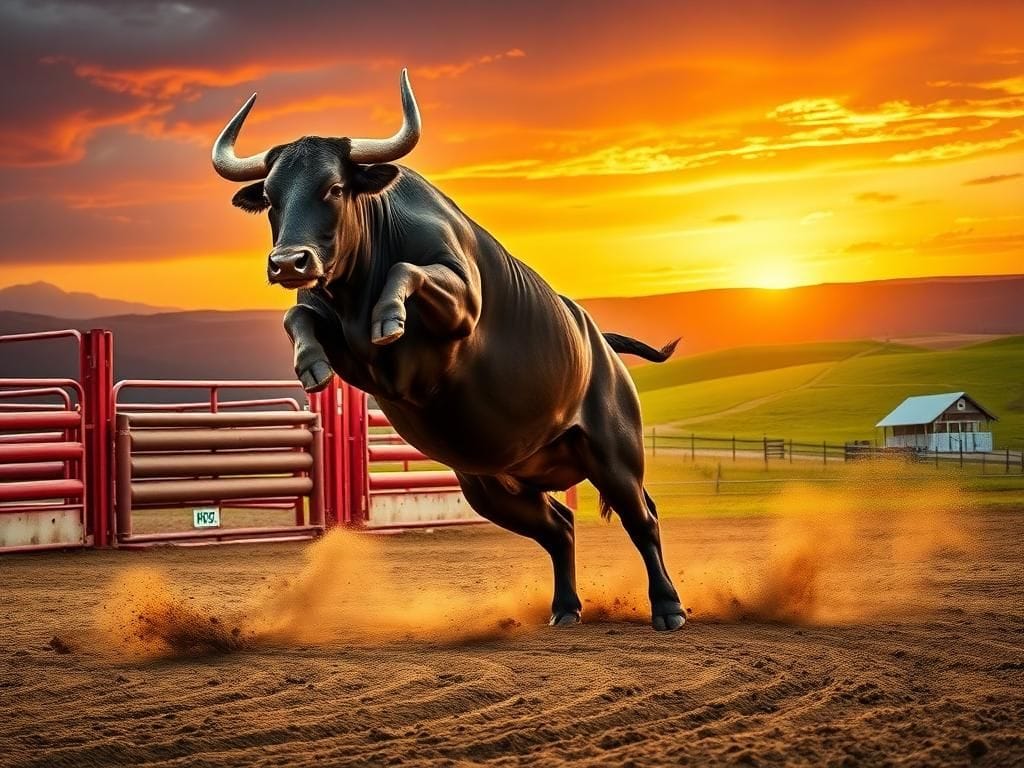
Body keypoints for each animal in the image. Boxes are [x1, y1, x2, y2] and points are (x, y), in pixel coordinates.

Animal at [212, 70, 686, 631]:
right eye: (271, 196)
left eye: (334, 187)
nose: (289, 262)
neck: (358, 286)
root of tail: (602, 349)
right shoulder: (352, 353)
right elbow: (298, 317)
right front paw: (311, 366)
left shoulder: (461, 304)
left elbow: (408, 272)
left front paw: (390, 317)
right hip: (493, 487)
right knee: (561, 527)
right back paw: (566, 608)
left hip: (615, 455)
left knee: (643, 520)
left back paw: (668, 608)